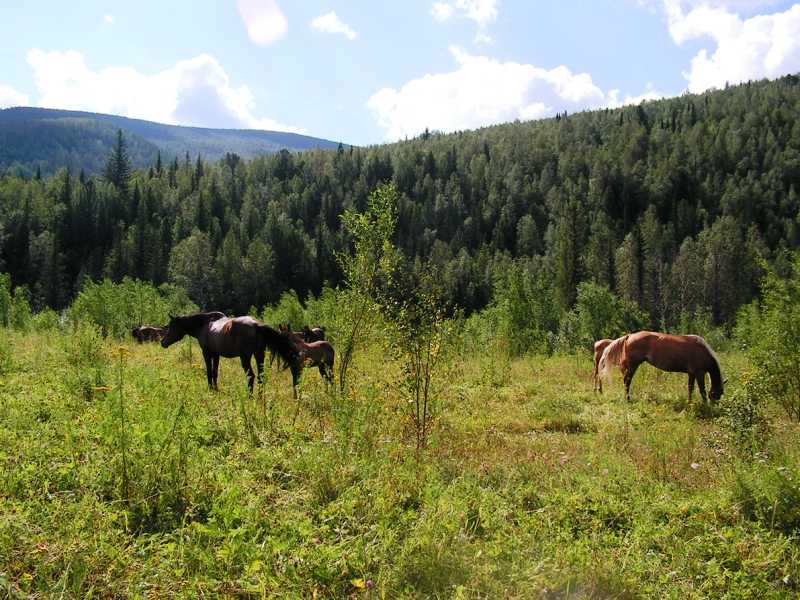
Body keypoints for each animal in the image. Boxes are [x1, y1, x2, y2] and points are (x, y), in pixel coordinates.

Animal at [161, 312, 298, 392]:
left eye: (171, 325)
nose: (162, 342)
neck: (205, 324)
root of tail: (256, 325)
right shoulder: (216, 354)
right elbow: (215, 372)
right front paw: (215, 389)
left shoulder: (207, 352)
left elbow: (209, 372)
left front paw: (210, 388)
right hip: (259, 355)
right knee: (260, 376)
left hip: (245, 357)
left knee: (251, 376)